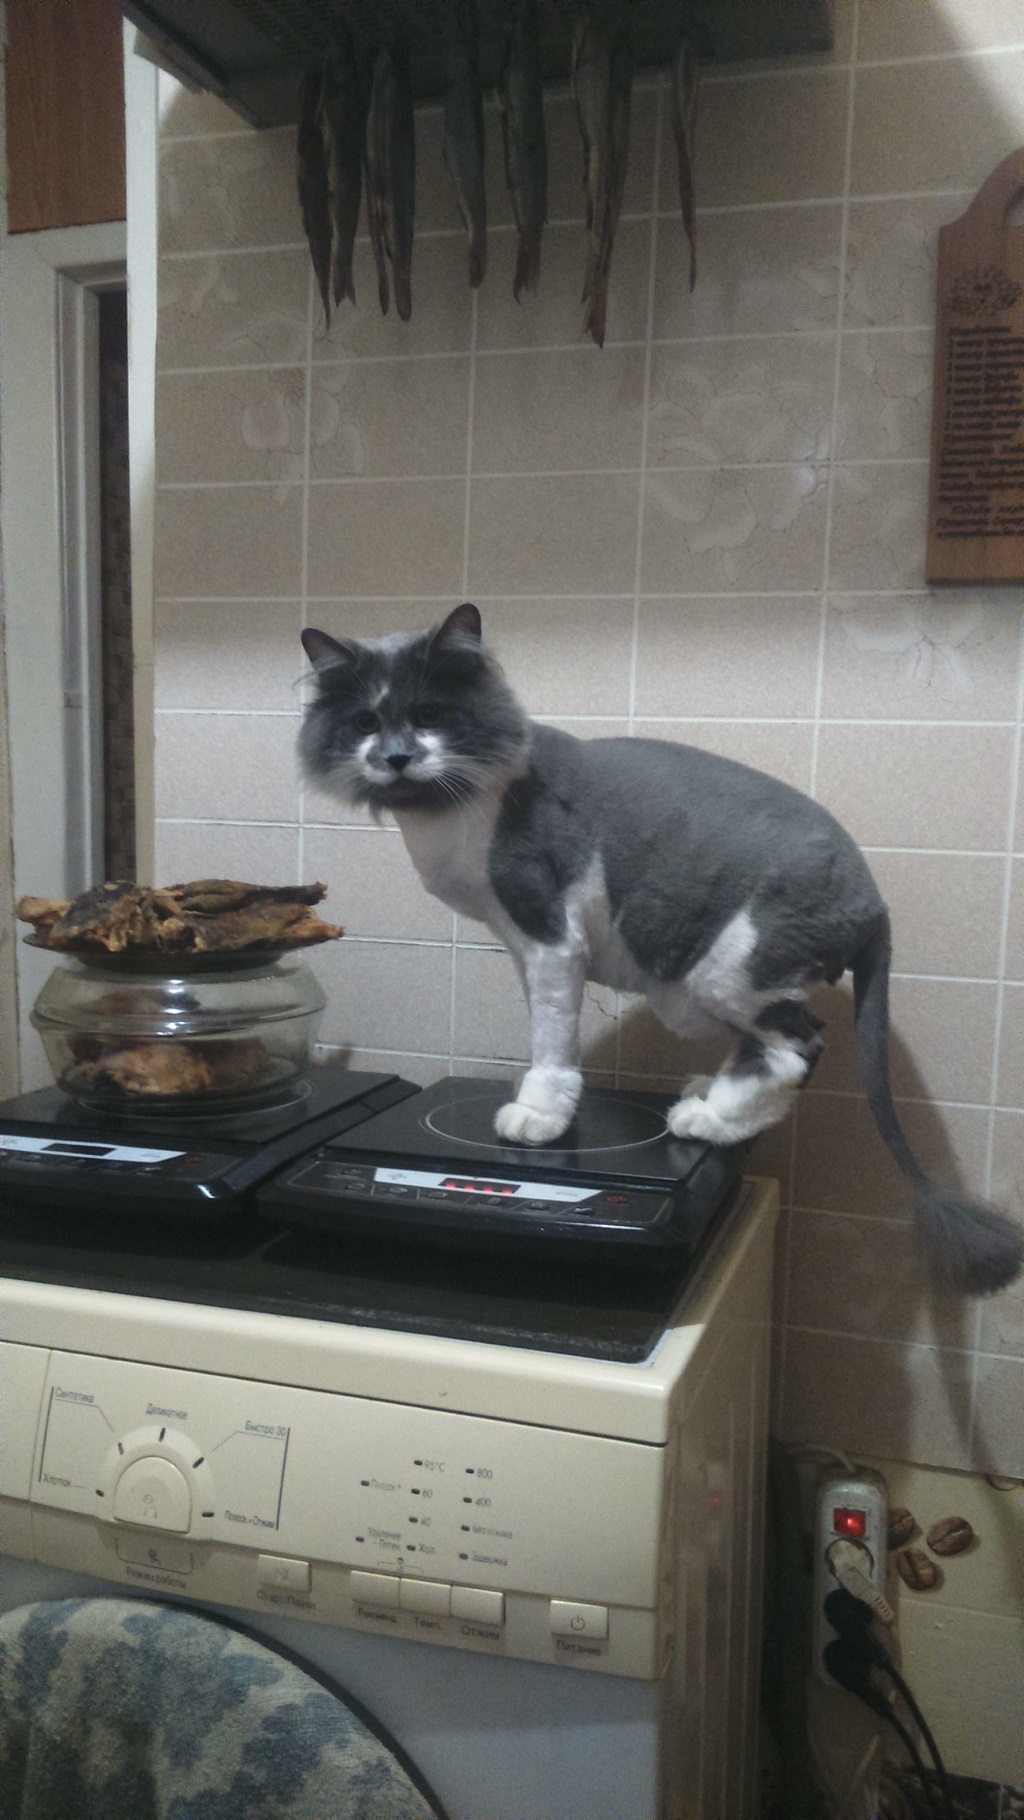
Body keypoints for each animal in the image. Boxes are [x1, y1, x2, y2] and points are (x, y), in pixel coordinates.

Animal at [299, 601, 1023, 1298]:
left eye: (428, 715)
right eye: (366, 721)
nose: (395, 757)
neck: (451, 814)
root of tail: (877, 905)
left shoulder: (551, 936)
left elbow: (552, 1040)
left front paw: (540, 1113)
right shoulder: (522, 946)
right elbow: (541, 1023)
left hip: (730, 970)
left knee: (797, 1049)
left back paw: (711, 1119)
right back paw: (711, 1093)